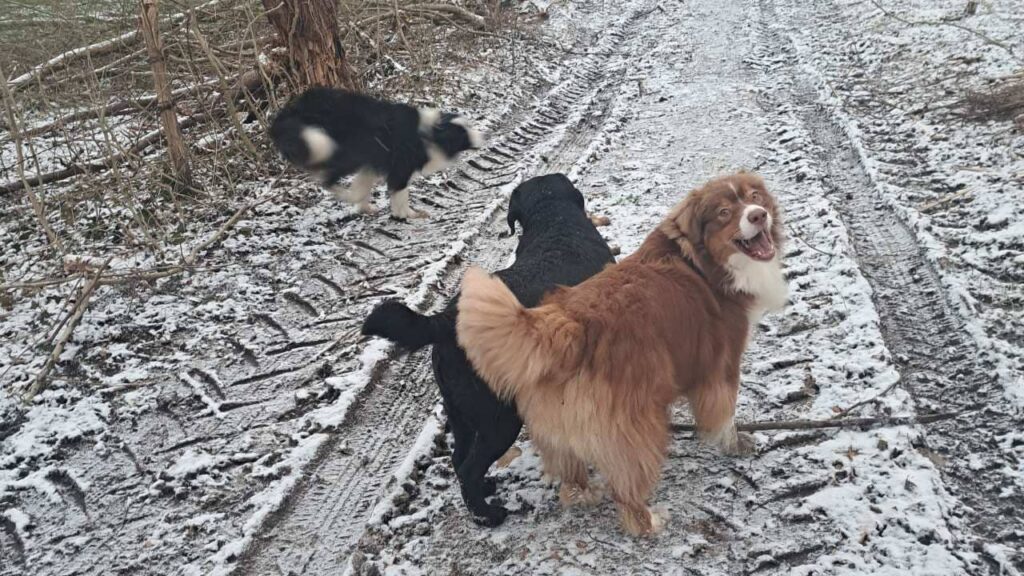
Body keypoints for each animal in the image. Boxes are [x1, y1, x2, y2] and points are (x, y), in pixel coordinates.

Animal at [270, 87, 481, 217]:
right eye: (463, 133)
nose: (485, 135)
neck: (432, 133)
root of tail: (294, 109)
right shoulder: (400, 168)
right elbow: (401, 194)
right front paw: (408, 215)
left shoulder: (370, 164)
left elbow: (364, 187)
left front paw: (365, 208)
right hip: (344, 152)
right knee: (326, 179)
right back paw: (343, 193)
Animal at [362, 174, 614, 524]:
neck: (556, 223)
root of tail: (447, 320)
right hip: (500, 418)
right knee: (468, 468)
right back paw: (488, 514)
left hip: (461, 413)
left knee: (458, 459)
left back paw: (486, 492)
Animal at [452, 170, 786, 532]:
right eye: (724, 213)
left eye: (755, 196)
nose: (758, 215)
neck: (699, 260)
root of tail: (568, 325)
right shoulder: (721, 363)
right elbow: (725, 416)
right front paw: (736, 444)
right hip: (633, 427)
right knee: (627, 488)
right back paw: (649, 520)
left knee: (570, 483)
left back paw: (585, 493)